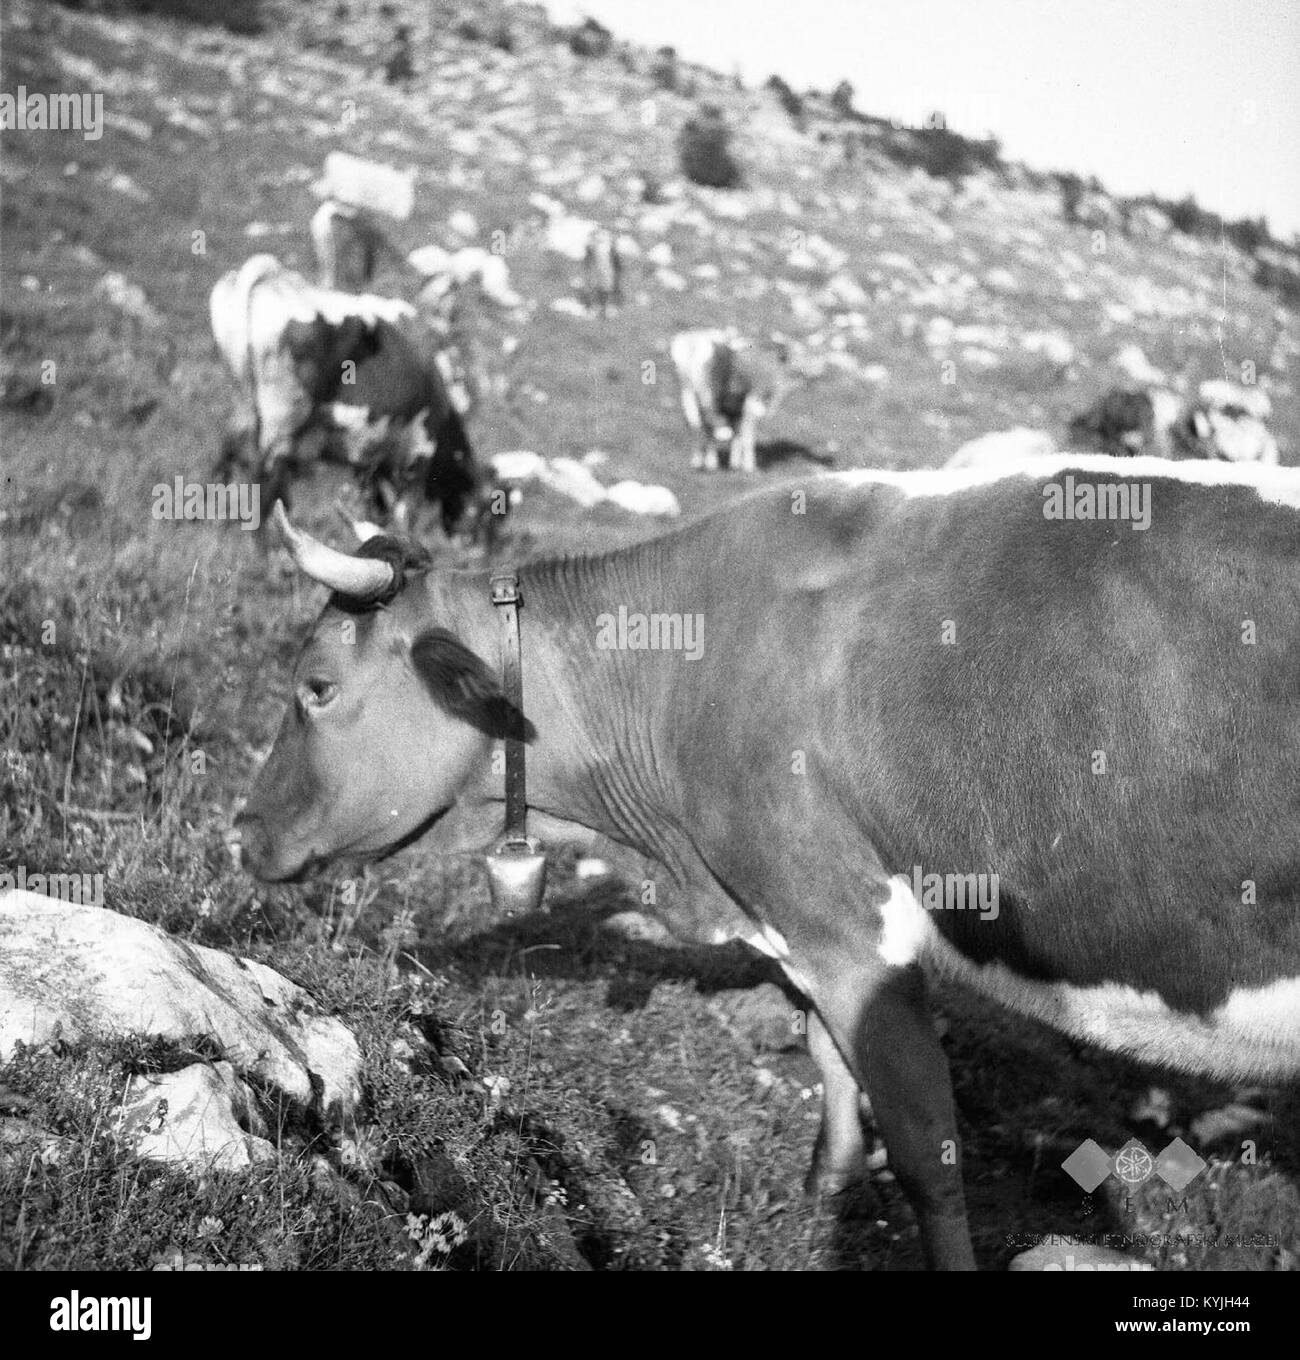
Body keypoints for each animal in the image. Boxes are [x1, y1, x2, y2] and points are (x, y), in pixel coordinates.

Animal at [210, 254, 499, 539]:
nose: (475, 546)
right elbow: (405, 513)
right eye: (485, 512)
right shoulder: (417, 450)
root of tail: (274, 278)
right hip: (281, 423)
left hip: (244, 407)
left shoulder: (370, 457)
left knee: (225, 459)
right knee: (262, 488)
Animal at [233, 456, 1300, 1270]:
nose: (243, 831)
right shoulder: (792, 922)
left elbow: (927, 1145)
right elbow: (827, 1053)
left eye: (316, 686)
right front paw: (824, 1191)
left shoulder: (847, 927)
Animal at [669, 329, 795, 472]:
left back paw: (698, 462)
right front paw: (748, 467)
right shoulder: (751, 404)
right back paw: (711, 464)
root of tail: (693, 344)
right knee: (708, 422)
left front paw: (734, 464)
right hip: (708, 396)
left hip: (688, 393)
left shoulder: (736, 411)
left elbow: (737, 434)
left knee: (695, 424)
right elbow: (746, 434)